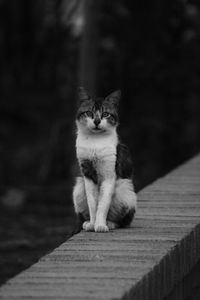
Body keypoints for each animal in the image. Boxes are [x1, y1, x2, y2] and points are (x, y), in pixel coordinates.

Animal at [72, 86, 137, 232]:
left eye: (106, 114)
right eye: (89, 113)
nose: (97, 121)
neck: (95, 141)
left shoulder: (109, 174)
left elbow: (103, 203)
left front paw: (100, 225)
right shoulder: (87, 172)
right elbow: (92, 203)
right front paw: (93, 224)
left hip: (124, 188)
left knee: (124, 220)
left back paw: (110, 223)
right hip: (79, 187)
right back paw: (87, 223)